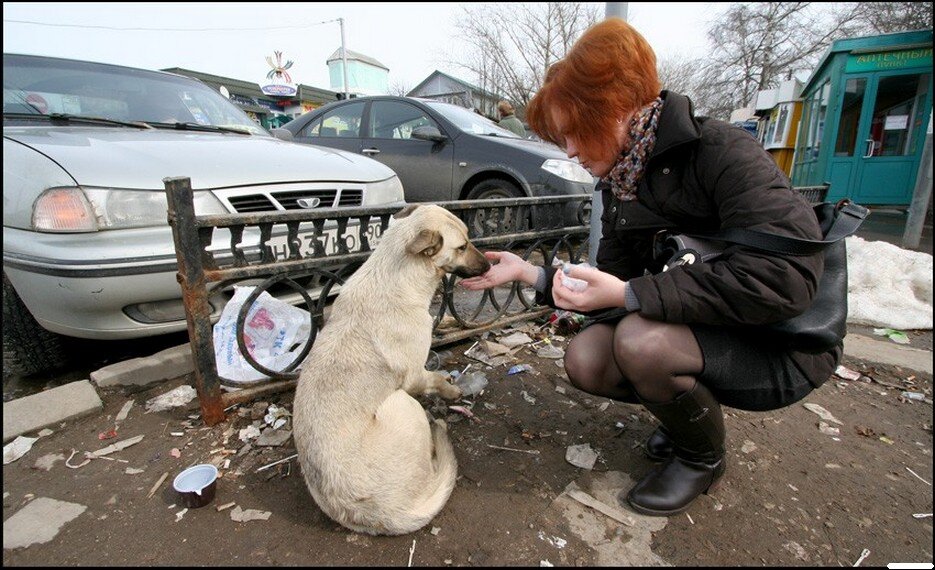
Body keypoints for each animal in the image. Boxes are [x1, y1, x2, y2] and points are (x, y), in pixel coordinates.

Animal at [294, 203, 494, 532]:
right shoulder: (414, 377)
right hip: (402, 403)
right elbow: (437, 379)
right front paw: (452, 391)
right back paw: (438, 431)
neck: (396, 277)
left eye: (468, 239)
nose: (490, 265)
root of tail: (385, 514)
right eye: (462, 246)